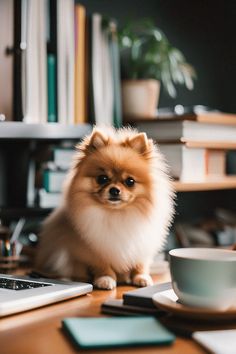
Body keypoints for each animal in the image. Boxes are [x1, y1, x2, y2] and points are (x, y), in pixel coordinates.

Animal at [35, 129, 175, 290]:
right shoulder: (96, 248)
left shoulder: (141, 243)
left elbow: (140, 263)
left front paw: (141, 277)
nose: (114, 190)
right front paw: (105, 279)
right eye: (102, 178)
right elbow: (102, 265)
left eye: (130, 181)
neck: (117, 214)